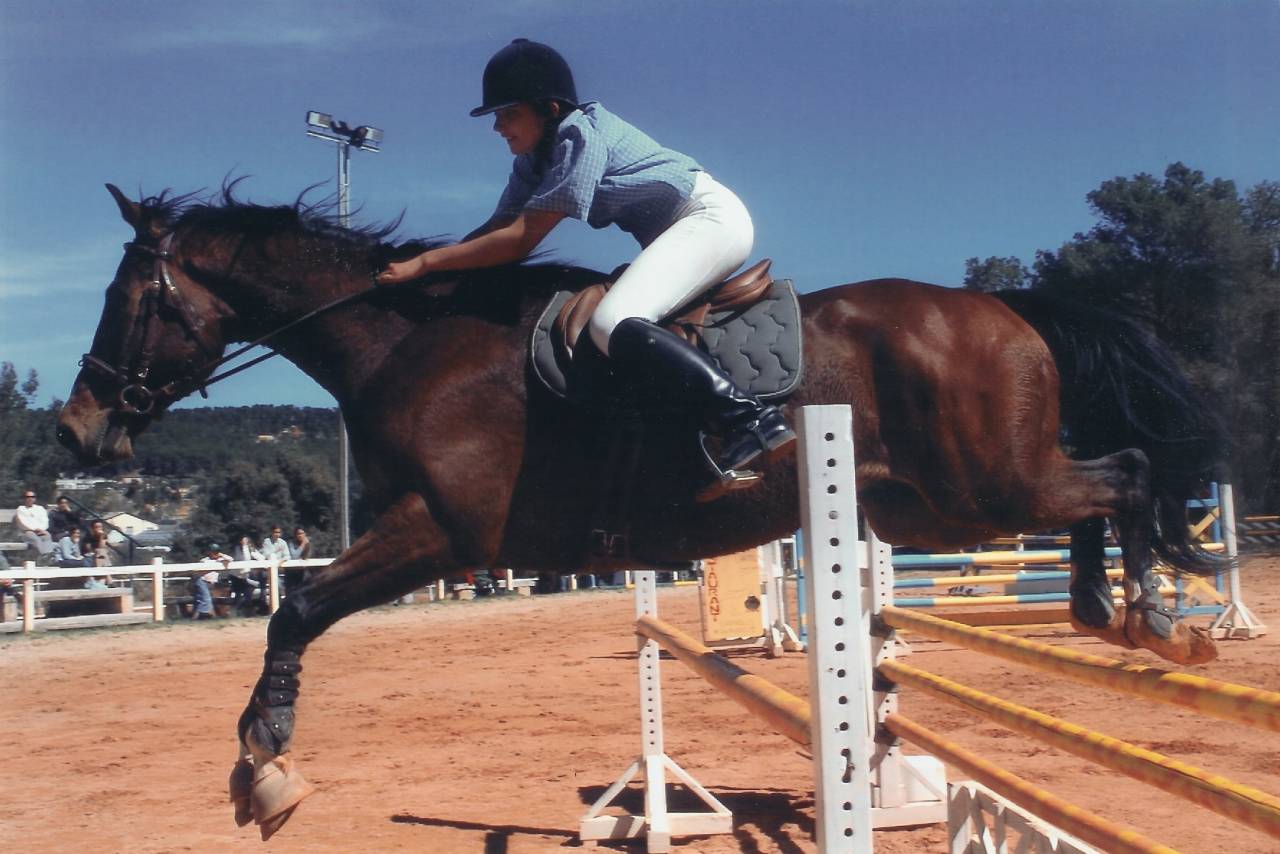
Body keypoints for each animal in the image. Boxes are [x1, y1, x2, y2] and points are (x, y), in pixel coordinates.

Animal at [57, 184, 1223, 838]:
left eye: (126, 298)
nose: (75, 430)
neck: (406, 346)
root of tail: (1002, 305)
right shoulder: (430, 538)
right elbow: (295, 611)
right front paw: (261, 762)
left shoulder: (440, 534)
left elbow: (292, 611)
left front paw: (262, 765)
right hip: (931, 508)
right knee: (1096, 487)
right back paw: (1107, 613)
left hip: (985, 486)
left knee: (1123, 474)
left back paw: (1155, 620)